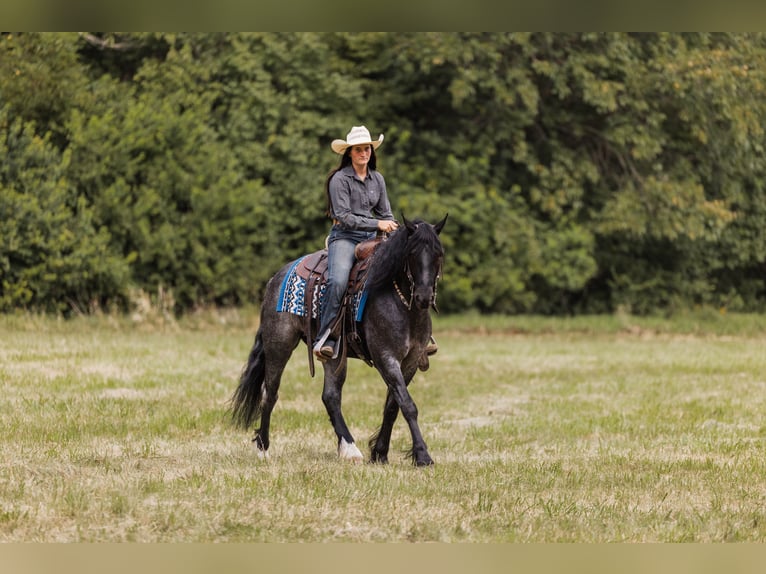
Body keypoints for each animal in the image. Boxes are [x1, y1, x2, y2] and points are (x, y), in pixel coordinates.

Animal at [230, 214, 447, 466]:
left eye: (438, 253)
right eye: (411, 253)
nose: (424, 297)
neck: (400, 303)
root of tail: (276, 278)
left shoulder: (410, 361)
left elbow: (393, 406)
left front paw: (380, 453)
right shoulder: (386, 358)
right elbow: (408, 405)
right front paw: (422, 455)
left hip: (333, 355)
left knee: (330, 397)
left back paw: (349, 448)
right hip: (279, 346)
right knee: (270, 393)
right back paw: (263, 448)